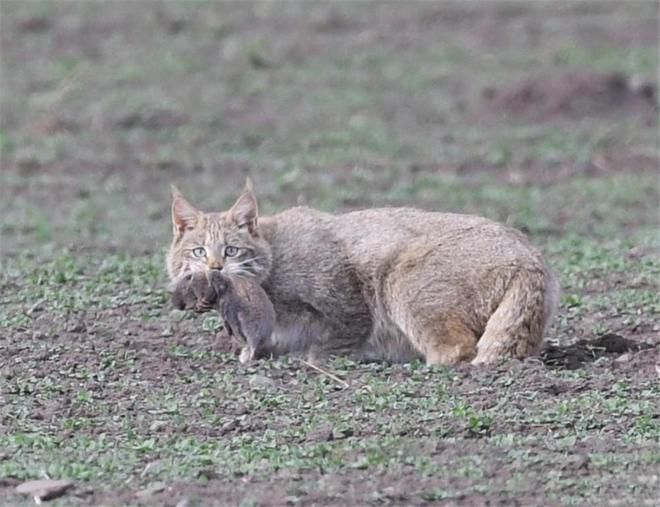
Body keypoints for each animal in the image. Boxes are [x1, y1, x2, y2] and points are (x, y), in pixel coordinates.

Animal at [166, 180, 556, 366]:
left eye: (231, 250)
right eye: (198, 252)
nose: (215, 268)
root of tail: (530, 256)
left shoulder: (346, 293)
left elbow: (337, 336)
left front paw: (314, 357)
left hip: (400, 279)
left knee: (457, 348)